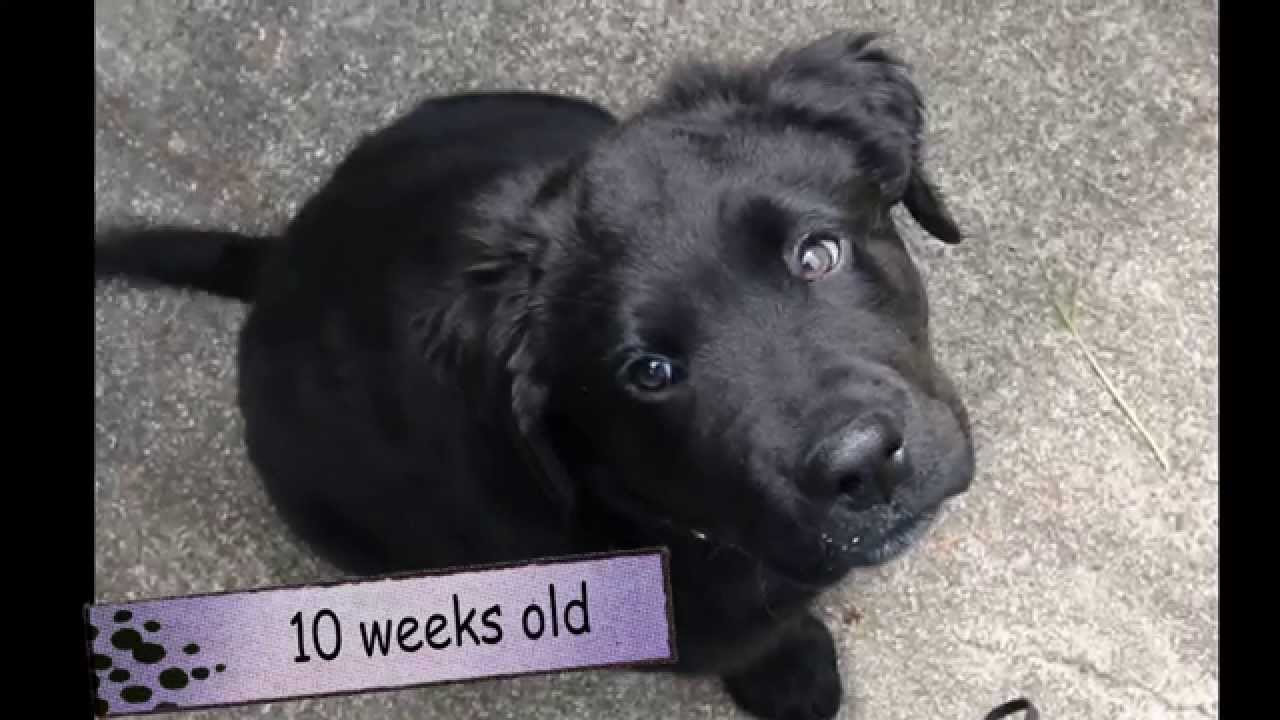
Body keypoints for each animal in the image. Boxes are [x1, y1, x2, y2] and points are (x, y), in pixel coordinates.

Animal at [94, 29, 972, 717]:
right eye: (649, 372)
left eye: (817, 253)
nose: (861, 465)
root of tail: (279, 263)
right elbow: (755, 638)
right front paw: (792, 677)